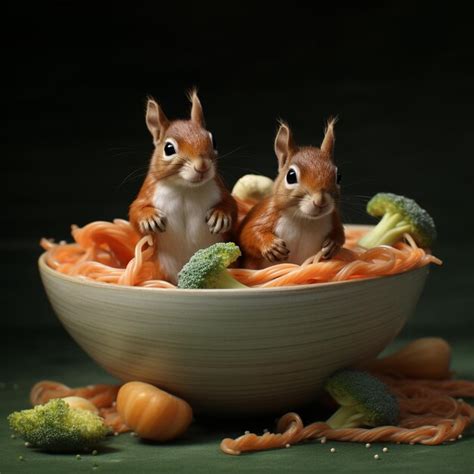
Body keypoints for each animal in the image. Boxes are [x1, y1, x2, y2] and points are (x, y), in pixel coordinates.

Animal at [129, 90, 237, 284]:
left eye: (214, 141)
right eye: (169, 148)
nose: (202, 166)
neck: (185, 188)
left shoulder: (220, 189)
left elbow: (232, 205)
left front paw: (220, 215)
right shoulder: (148, 191)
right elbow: (135, 211)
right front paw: (149, 218)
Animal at [237, 120, 344, 268]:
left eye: (338, 177)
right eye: (291, 176)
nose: (320, 201)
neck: (303, 219)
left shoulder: (333, 218)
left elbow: (341, 235)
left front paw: (333, 244)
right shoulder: (268, 214)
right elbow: (248, 234)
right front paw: (271, 246)